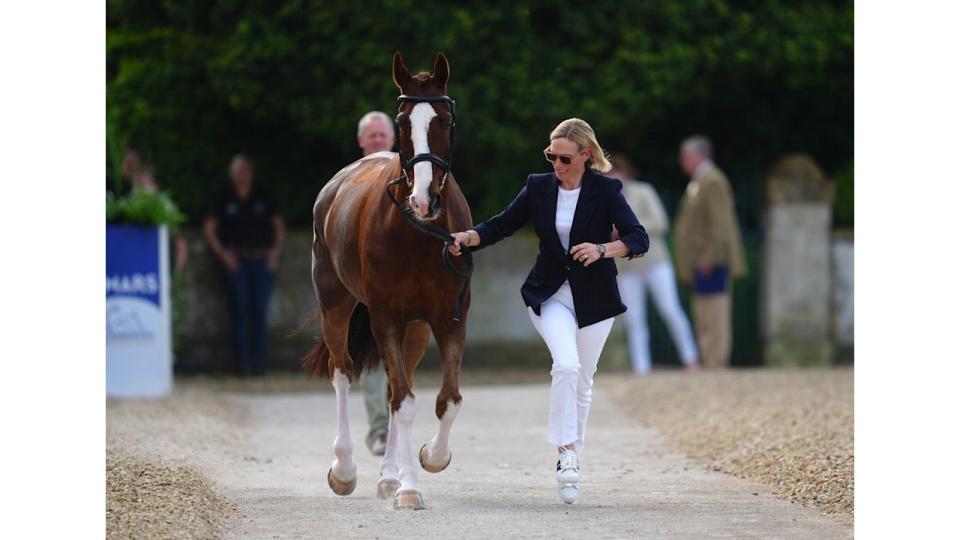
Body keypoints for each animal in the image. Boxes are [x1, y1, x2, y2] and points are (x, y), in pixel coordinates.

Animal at [304, 52, 472, 508]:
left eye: (446, 120)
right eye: (402, 122)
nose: (424, 199)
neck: (420, 235)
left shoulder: (448, 320)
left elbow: (446, 400)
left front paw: (430, 459)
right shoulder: (385, 320)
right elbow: (401, 401)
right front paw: (411, 489)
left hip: (415, 329)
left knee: (404, 383)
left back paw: (389, 477)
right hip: (336, 306)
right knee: (343, 373)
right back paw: (345, 471)